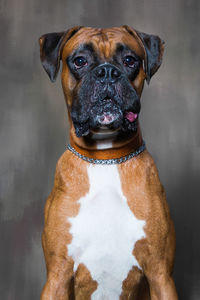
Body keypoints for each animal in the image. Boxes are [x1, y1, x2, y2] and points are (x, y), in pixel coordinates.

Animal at [39, 26, 178, 300]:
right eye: (80, 61)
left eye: (130, 60)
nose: (107, 72)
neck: (105, 158)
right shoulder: (57, 276)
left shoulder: (160, 276)